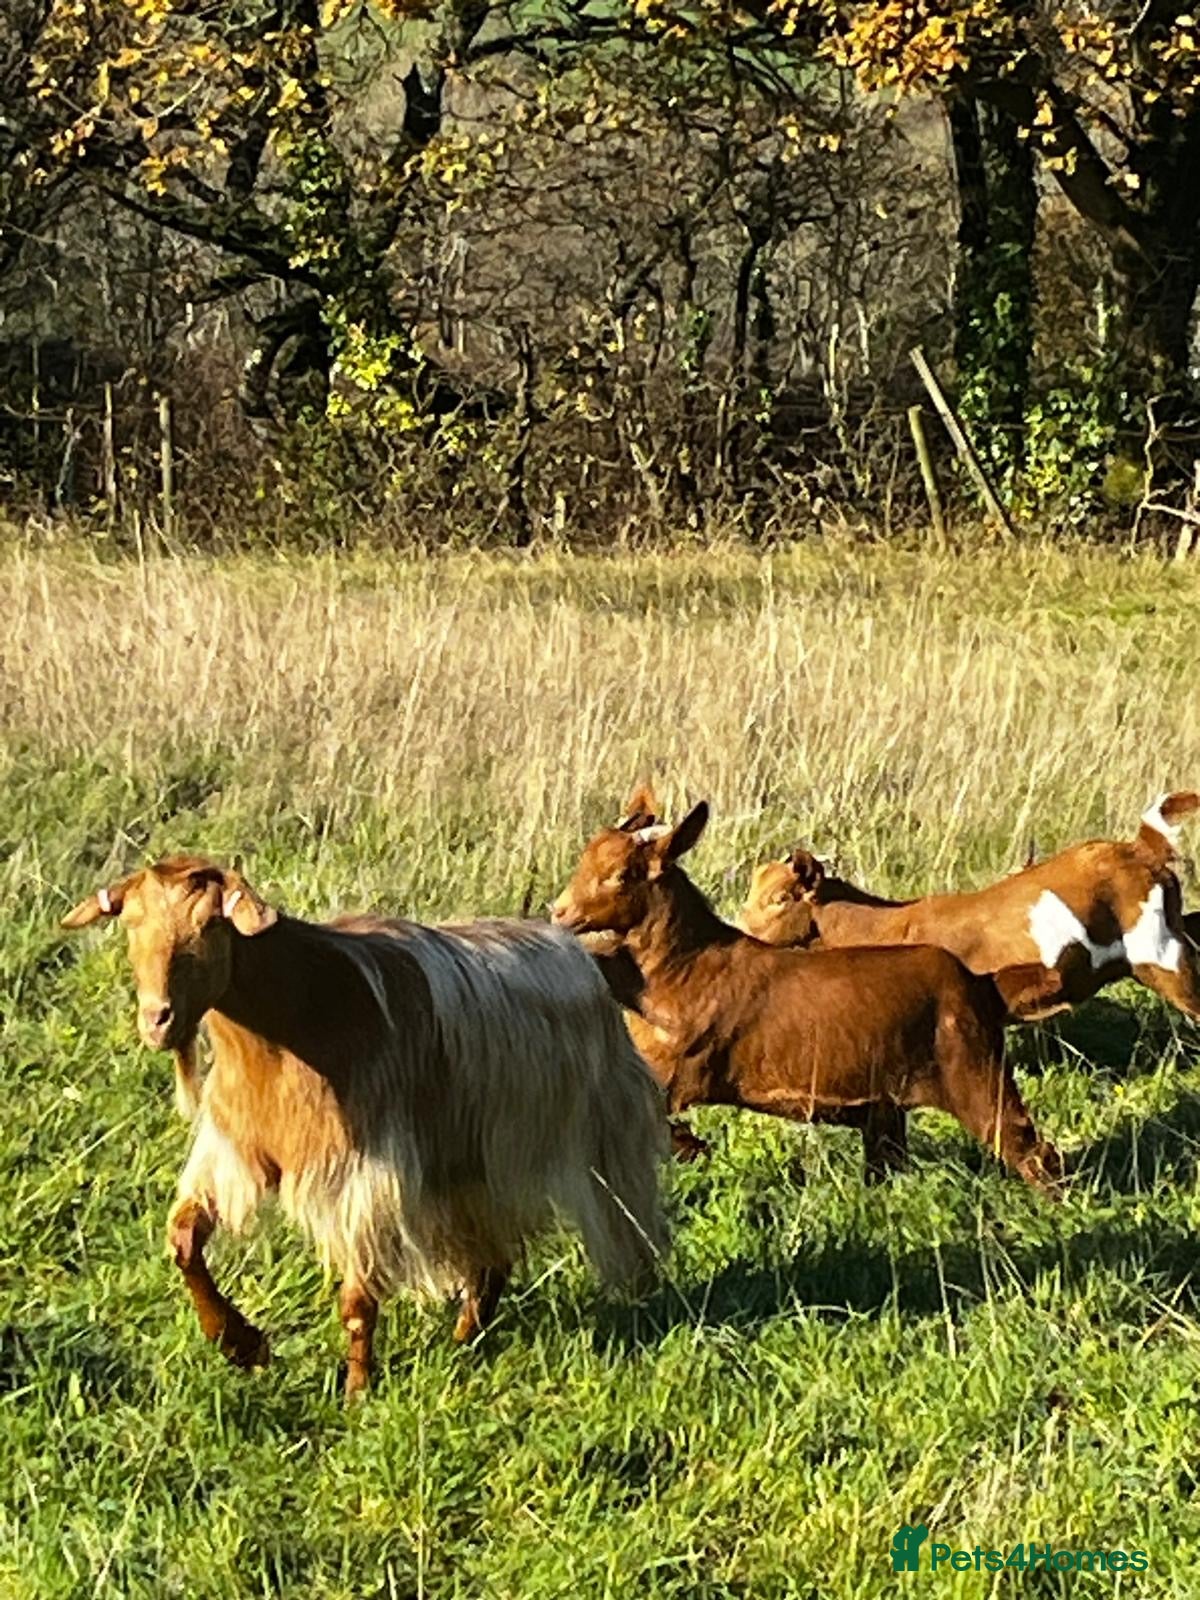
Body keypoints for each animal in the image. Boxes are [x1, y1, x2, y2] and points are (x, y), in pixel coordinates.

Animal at [63, 856, 668, 1398]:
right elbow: (184, 1240)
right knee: (491, 1249)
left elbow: (357, 1298)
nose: (157, 1019)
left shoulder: (365, 1170)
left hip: (582, 1133)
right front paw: (241, 1344)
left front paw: (357, 1392)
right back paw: (466, 1335)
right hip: (465, 1162)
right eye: (131, 924)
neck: (291, 1021)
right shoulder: (239, 1149)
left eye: (209, 924)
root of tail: (575, 953)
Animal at [553, 798, 1061, 1193]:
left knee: (1031, 1147)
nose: (560, 912)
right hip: (888, 1107)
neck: (680, 970)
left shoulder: (677, 1069)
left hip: (973, 1071)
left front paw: (695, 1146)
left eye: (620, 874)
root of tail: (983, 983)